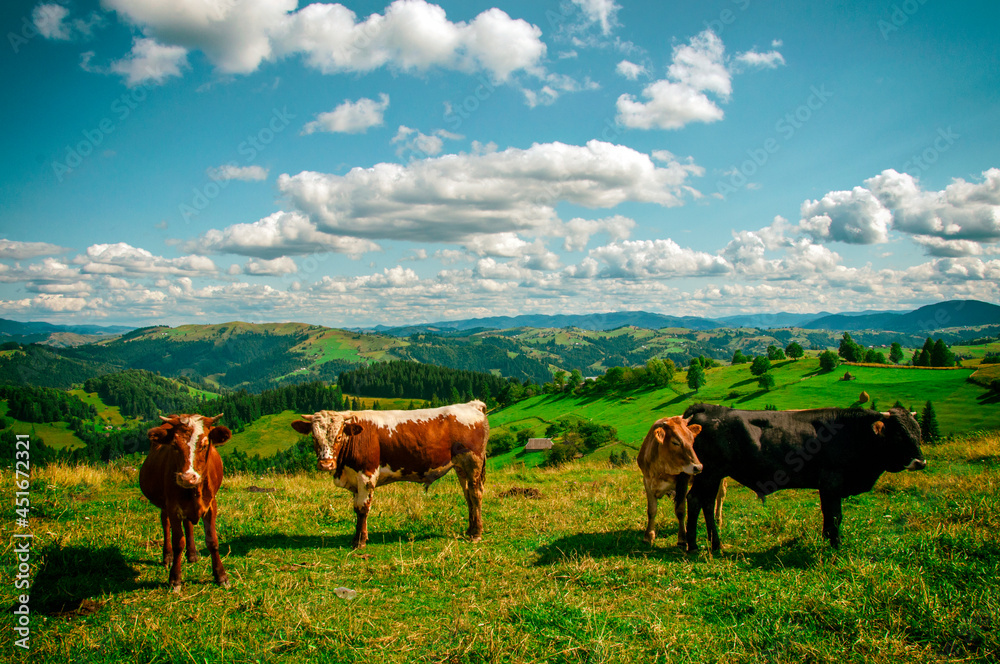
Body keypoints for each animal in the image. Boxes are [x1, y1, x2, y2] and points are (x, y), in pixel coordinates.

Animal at [140, 410, 231, 592]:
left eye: (204, 445)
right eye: (174, 446)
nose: (187, 478)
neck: (194, 490)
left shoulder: (211, 505)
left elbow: (212, 541)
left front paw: (221, 575)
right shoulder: (173, 507)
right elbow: (178, 543)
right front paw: (175, 579)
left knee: (188, 524)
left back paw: (193, 554)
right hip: (165, 505)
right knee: (165, 523)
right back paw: (167, 557)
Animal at [292, 402, 490, 548]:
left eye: (339, 436)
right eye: (314, 438)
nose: (326, 464)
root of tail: (472, 405)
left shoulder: (367, 474)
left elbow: (363, 508)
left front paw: (360, 542)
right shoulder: (355, 478)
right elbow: (356, 508)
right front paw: (356, 538)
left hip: (473, 461)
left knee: (476, 494)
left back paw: (476, 533)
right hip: (461, 467)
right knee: (468, 496)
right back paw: (470, 530)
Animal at [640, 416, 728, 548]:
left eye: (692, 441)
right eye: (675, 442)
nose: (698, 467)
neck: (660, 468)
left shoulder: (682, 482)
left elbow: (680, 511)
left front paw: (682, 538)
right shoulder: (647, 480)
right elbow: (651, 510)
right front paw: (648, 536)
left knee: (720, 495)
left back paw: (718, 519)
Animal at [684, 404, 924, 548]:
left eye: (918, 432)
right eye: (899, 433)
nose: (920, 462)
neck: (853, 433)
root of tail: (707, 408)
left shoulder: (828, 486)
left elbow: (829, 515)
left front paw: (828, 539)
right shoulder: (831, 483)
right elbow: (835, 516)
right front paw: (835, 544)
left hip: (711, 474)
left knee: (703, 502)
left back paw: (706, 543)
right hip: (711, 472)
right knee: (698, 500)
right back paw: (702, 544)